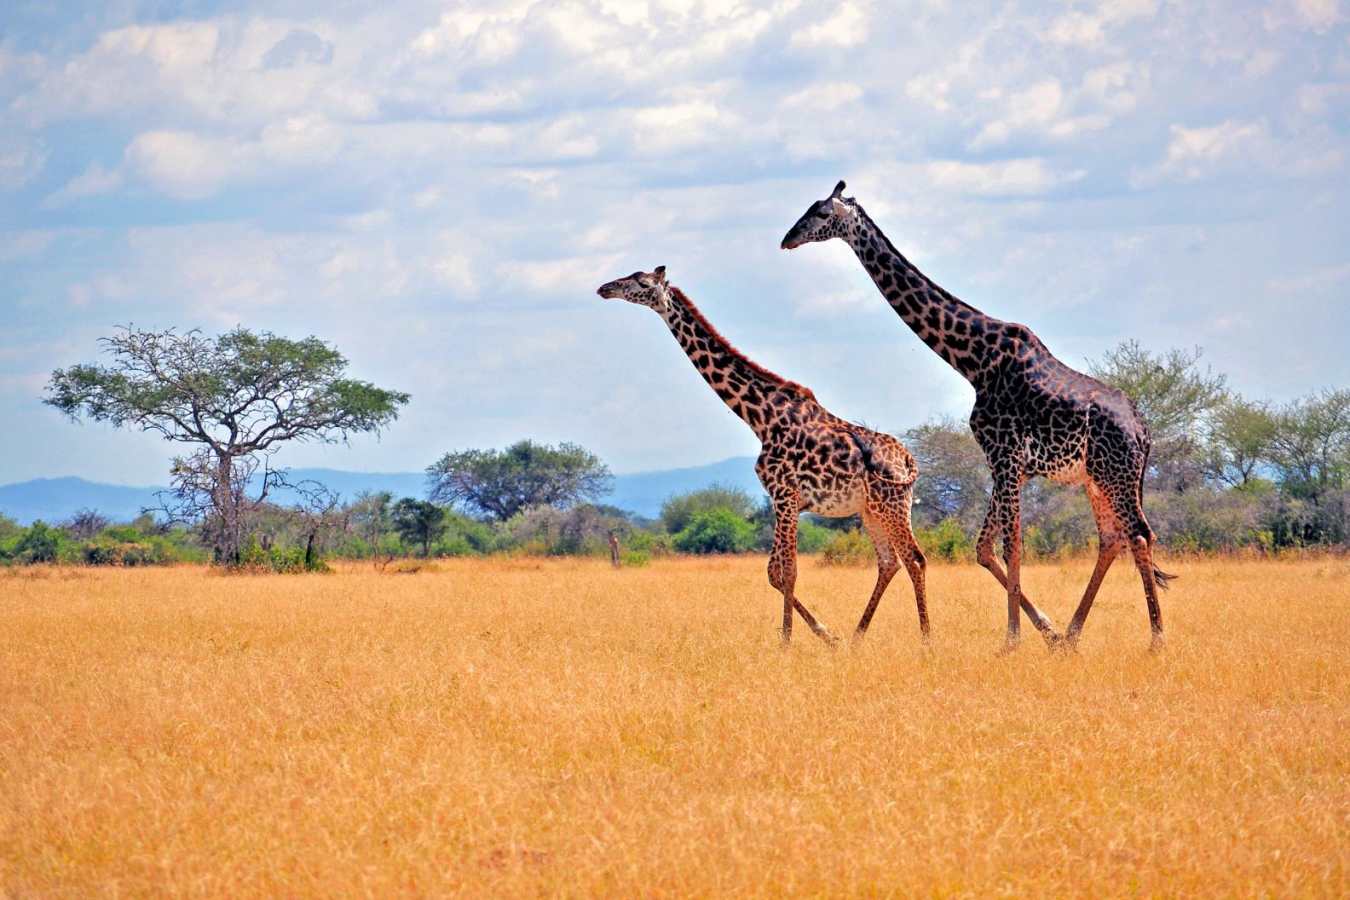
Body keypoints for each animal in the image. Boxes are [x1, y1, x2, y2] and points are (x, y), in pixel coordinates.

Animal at [597, 266, 928, 645]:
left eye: (641, 282)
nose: (605, 288)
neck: (760, 418)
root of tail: (908, 461)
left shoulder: (785, 495)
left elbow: (789, 571)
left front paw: (788, 642)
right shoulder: (782, 500)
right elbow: (773, 572)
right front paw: (826, 636)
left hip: (892, 505)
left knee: (915, 559)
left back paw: (925, 640)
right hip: (871, 510)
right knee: (889, 563)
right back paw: (856, 638)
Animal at [781, 182, 1173, 652]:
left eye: (822, 214)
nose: (788, 240)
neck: (975, 362)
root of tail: (1143, 431)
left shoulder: (1004, 455)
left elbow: (1011, 546)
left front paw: (1012, 640)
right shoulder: (1010, 464)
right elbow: (984, 548)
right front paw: (1047, 632)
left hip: (1114, 474)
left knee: (1139, 534)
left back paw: (1156, 640)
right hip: (1097, 478)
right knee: (1113, 539)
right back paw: (1073, 634)